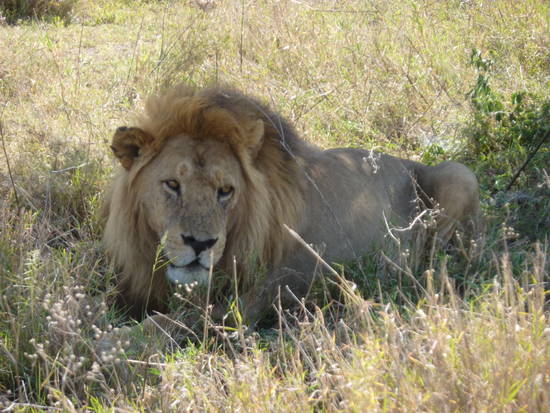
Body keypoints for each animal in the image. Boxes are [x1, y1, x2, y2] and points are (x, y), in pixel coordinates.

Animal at [104, 83, 484, 326]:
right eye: (172, 184)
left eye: (225, 191)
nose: (201, 244)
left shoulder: (261, 293)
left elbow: (166, 326)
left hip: (460, 174)